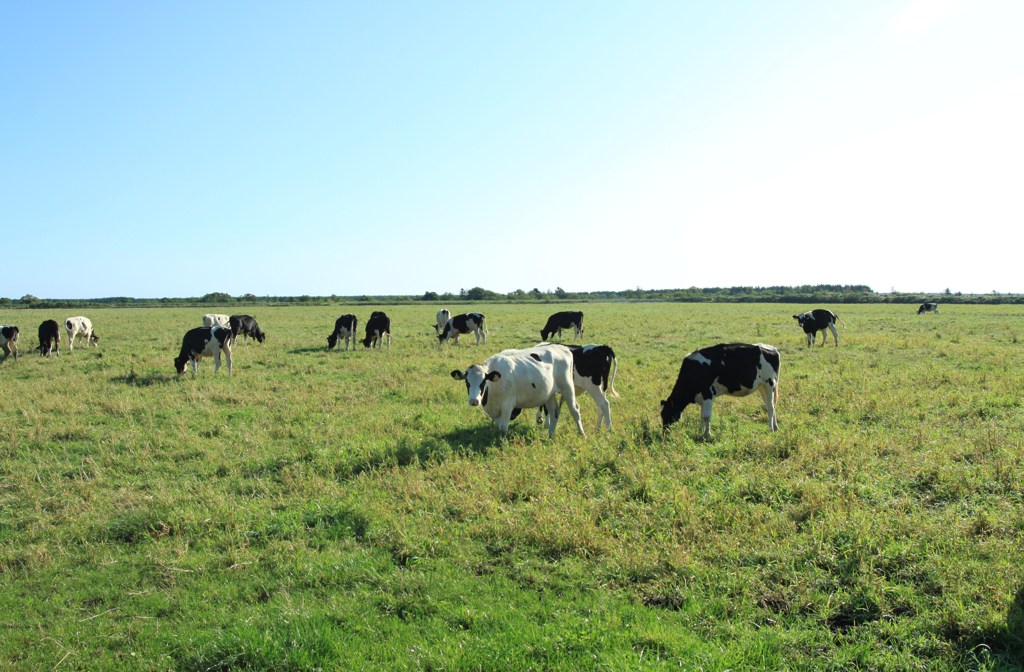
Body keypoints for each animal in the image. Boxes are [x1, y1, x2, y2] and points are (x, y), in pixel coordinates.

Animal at [450, 344, 585, 438]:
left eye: (483, 382)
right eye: (467, 382)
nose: (474, 401)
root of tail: (563, 348)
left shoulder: (507, 404)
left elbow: (503, 428)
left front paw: (501, 444)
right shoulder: (496, 409)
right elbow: (498, 427)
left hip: (567, 387)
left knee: (575, 410)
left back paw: (581, 434)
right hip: (550, 393)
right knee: (554, 411)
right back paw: (551, 435)